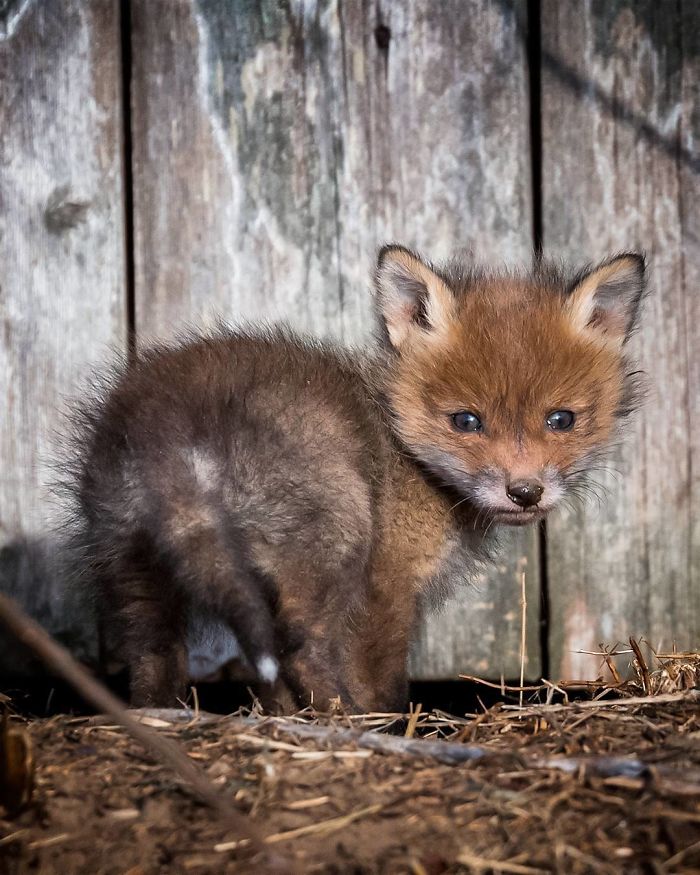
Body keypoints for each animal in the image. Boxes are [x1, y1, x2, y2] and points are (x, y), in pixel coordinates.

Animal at [66, 245, 645, 713]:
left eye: (560, 420)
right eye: (466, 421)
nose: (525, 492)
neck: (402, 452)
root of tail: (177, 420)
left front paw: (281, 719)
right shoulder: (384, 585)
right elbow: (380, 680)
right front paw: (383, 720)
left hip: (130, 565)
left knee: (154, 658)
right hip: (335, 541)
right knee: (300, 650)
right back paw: (346, 720)